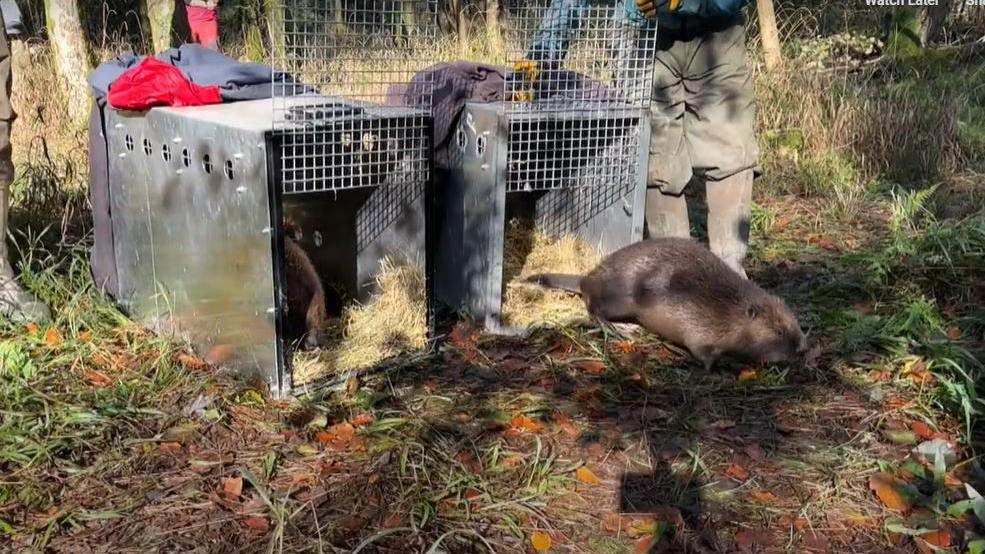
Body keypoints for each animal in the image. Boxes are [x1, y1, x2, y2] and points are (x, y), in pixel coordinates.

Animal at [528, 236, 812, 368]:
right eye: (778, 331)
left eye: (796, 325)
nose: (801, 348)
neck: (731, 307)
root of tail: (585, 278)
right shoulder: (701, 322)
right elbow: (702, 351)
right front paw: (723, 361)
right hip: (623, 296)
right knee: (593, 305)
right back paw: (621, 329)